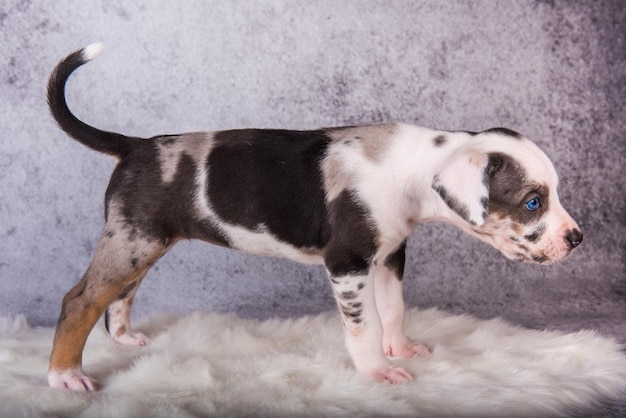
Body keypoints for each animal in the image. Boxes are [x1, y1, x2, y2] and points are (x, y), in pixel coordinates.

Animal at [45, 45, 580, 392]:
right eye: (533, 201)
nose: (577, 239)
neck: (413, 168)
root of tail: (133, 146)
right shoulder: (348, 265)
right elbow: (364, 326)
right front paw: (377, 371)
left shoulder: (389, 257)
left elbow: (393, 311)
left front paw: (400, 348)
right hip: (132, 241)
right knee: (81, 300)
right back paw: (65, 375)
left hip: (141, 241)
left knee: (120, 294)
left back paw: (123, 339)